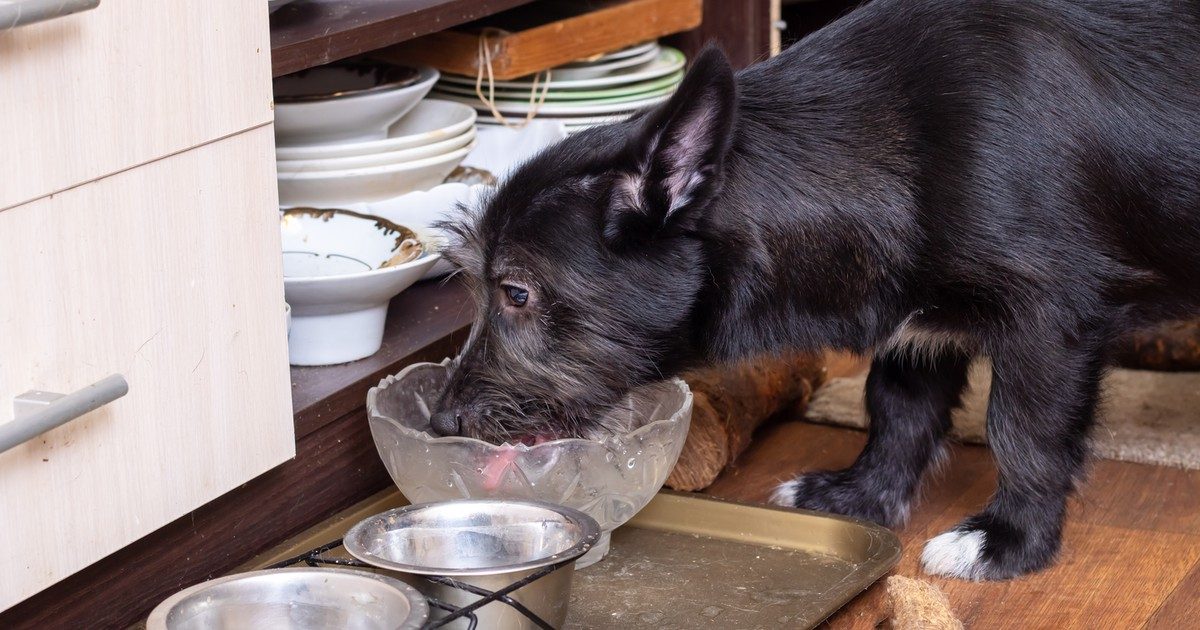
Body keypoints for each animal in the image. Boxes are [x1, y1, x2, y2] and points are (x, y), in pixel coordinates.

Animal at [434, 0, 1200, 580]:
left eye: (516, 292)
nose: (442, 424)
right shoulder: (918, 328)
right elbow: (897, 411)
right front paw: (861, 496)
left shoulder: (1050, 325)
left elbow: (1025, 435)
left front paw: (1009, 542)